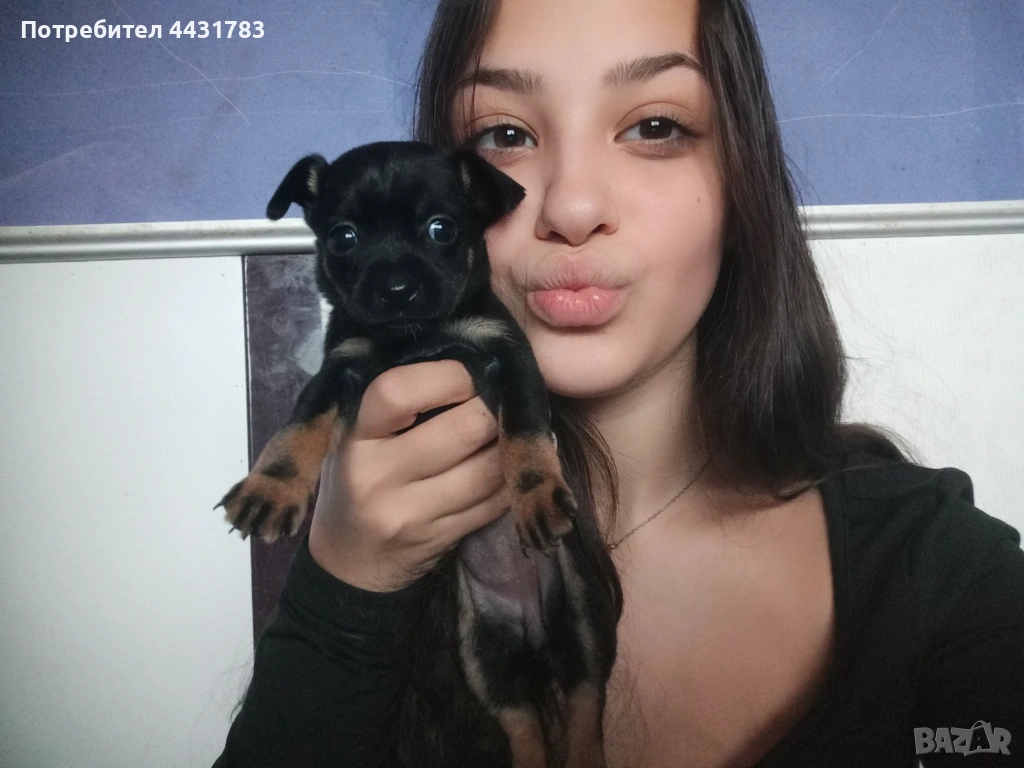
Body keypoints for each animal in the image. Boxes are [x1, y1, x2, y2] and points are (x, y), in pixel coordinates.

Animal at [217, 141, 617, 767]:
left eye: (441, 229)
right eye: (344, 237)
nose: (397, 288)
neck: (416, 336)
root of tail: (531, 635)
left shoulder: (510, 360)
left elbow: (525, 435)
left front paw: (535, 496)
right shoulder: (340, 370)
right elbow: (298, 428)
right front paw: (272, 487)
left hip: (584, 625)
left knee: (583, 701)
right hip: (480, 655)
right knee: (522, 721)